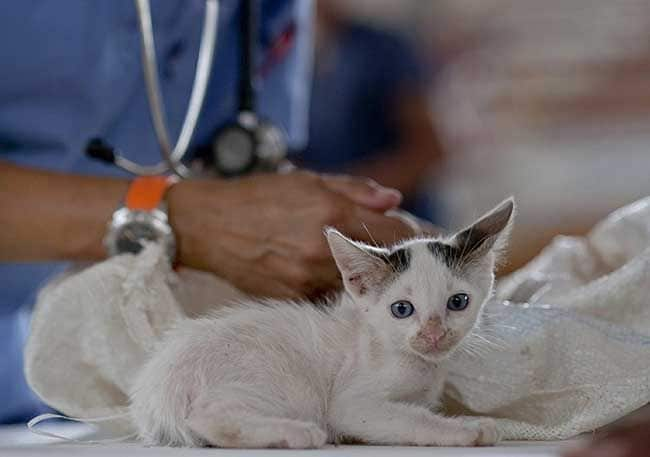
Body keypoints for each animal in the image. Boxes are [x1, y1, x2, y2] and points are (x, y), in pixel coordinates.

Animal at [128, 199, 512, 446]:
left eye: (458, 302)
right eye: (402, 309)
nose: (433, 333)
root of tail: (157, 390)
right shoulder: (353, 404)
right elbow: (410, 420)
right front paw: (468, 429)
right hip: (282, 383)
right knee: (208, 417)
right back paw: (296, 434)